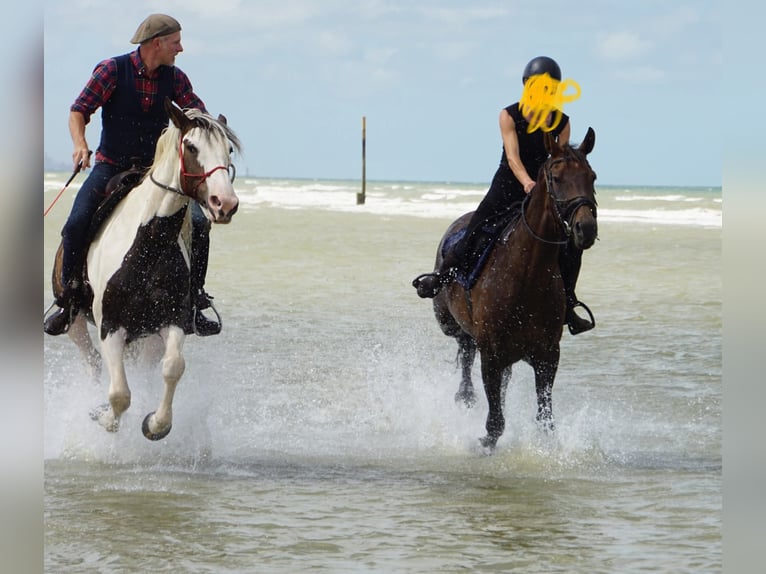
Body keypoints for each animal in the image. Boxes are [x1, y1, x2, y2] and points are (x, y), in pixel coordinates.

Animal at [430, 127, 598, 451]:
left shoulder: (547, 355)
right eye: (556, 178)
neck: (526, 275)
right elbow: (495, 422)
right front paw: (484, 443)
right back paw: (465, 394)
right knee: (464, 349)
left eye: (592, 176)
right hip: (452, 323)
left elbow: (544, 419)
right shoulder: (491, 353)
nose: (586, 228)